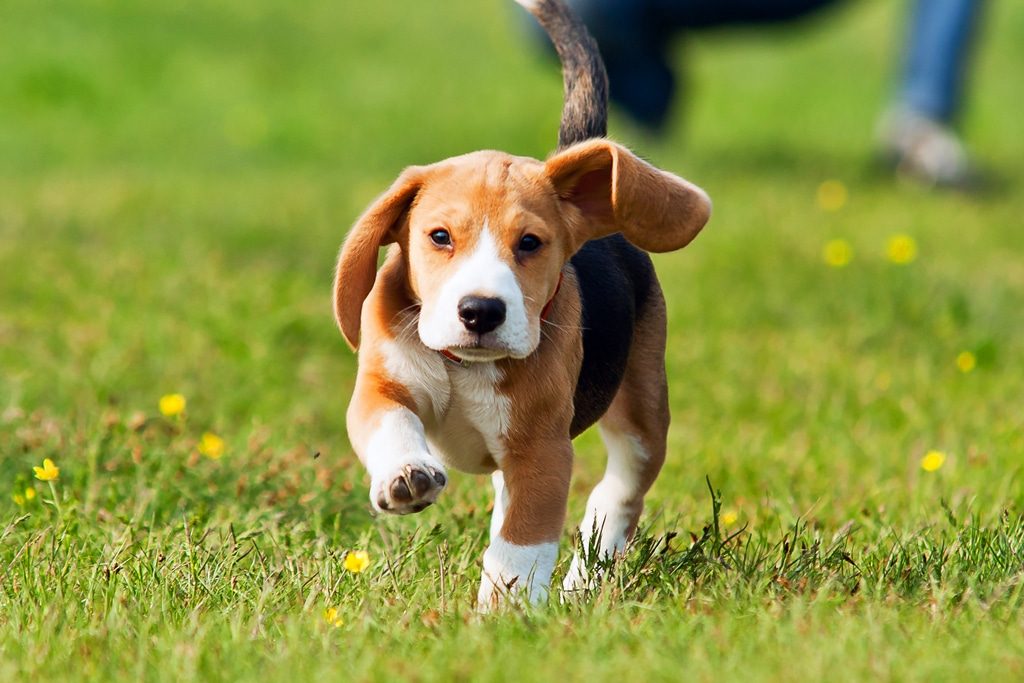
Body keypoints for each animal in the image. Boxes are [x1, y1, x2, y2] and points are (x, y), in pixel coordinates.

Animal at [331, 0, 708, 610]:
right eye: (439, 237)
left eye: (530, 243)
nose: (480, 311)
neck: (465, 367)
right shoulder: (382, 390)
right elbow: (393, 423)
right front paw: (406, 475)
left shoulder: (542, 455)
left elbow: (521, 544)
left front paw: (502, 616)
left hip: (643, 408)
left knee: (620, 492)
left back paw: (584, 582)